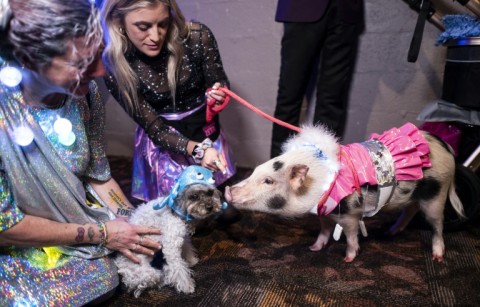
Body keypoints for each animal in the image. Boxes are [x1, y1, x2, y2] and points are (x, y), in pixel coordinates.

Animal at [117, 166, 228, 298]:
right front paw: (187, 286)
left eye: (210, 192)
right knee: (155, 281)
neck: (176, 211)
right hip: (150, 275)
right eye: (194, 196)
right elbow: (178, 268)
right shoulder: (171, 247)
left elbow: (187, 249)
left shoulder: (182, 238)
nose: (210, 207)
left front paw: (191, 260)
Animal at [225, 124, 464, 264]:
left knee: (437, 224)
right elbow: (324, 230)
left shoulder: (350, 213)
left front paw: (348, 259)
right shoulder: (325, 212)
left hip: (437, 194)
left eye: (268, 181)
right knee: (410, 209)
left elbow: (350, 235)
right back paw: (390, 232)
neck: (319, 183)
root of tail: (447, 148)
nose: (228, 190)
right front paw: (314, 248)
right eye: (255, 171)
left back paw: (437, 256)